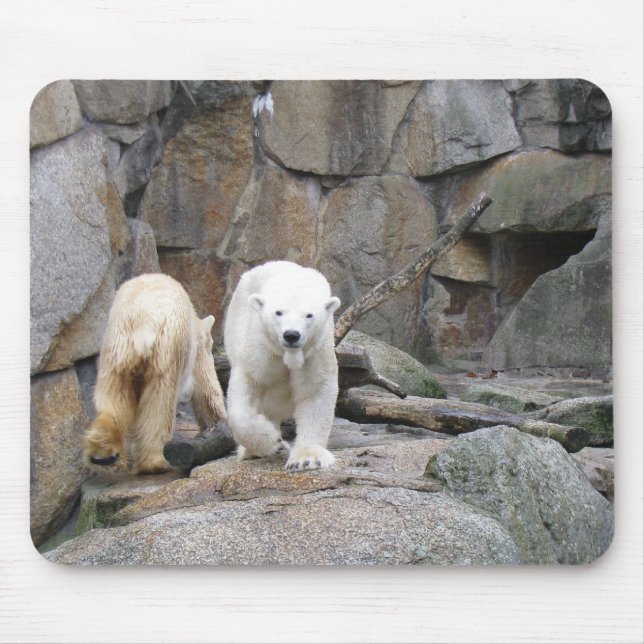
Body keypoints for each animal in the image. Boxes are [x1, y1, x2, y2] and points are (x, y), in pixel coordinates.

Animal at [83, 273, 226, 474]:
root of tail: (143, 323)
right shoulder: (194, 350)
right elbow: (206, 389)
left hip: (116, 352)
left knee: (113, 399)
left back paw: (103, 455)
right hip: (165, 352)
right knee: (160, 403)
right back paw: (156, 462)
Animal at [223, 260, 341, 471]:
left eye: (309, 315)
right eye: (278, 312)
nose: (291, 335)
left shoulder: (315, 351)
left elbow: (315, 391)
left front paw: (307, 459)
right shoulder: (261, 347)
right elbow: (248, 383)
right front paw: (272, 442)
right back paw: (251, 451)